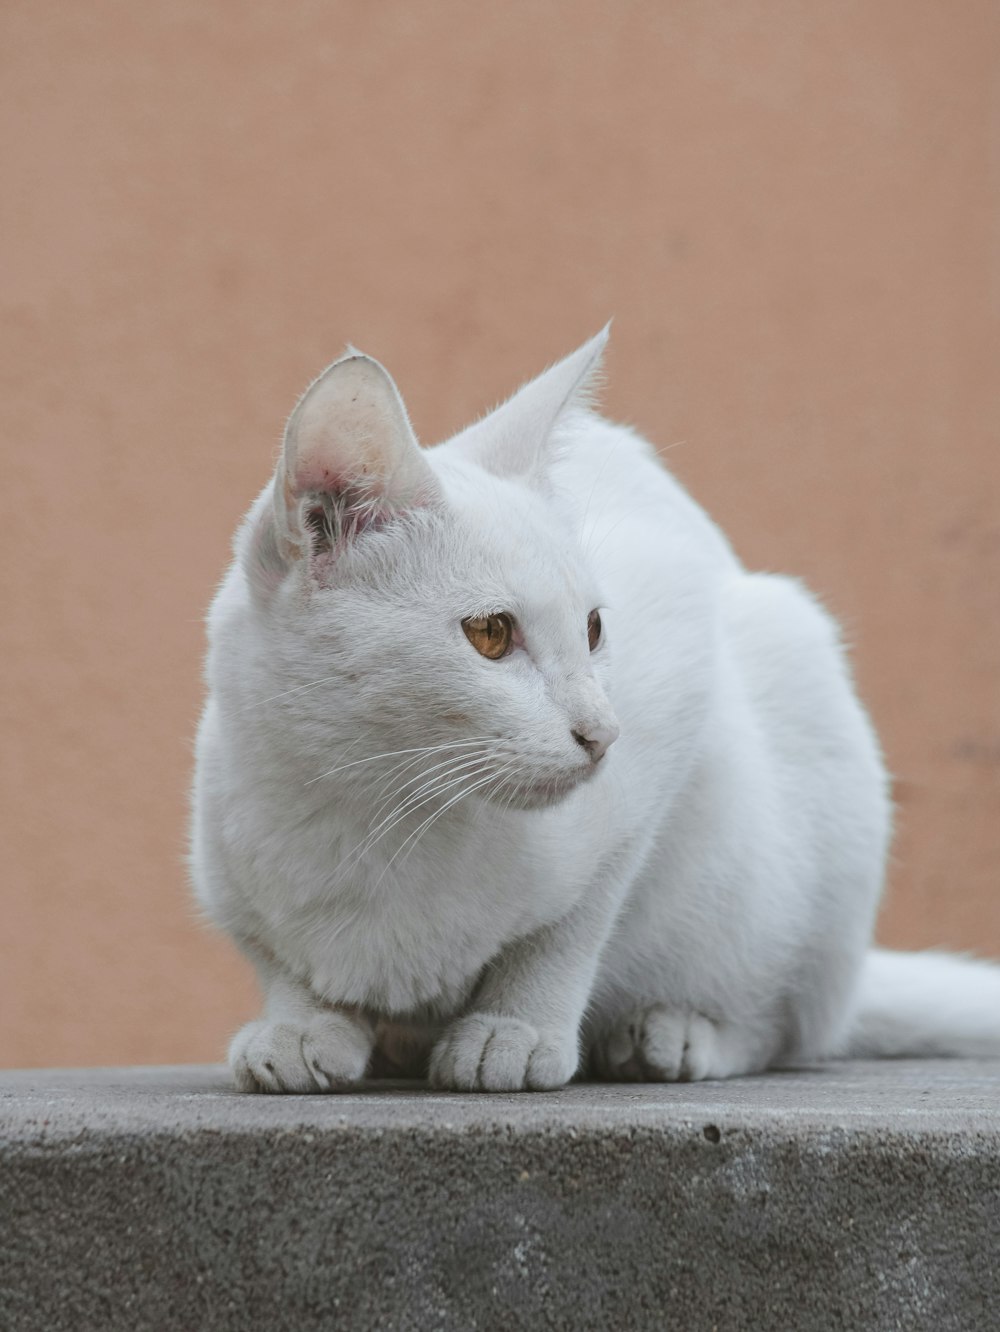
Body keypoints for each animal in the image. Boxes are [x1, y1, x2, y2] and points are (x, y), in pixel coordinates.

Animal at [189, 327, 1000, 1086]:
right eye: (491, 634)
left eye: (594, 629)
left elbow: (573, 924)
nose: (604, 733)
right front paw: (300, 1024)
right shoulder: (227, 868)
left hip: (797, 723)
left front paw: (516, 1029)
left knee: (784, 1022)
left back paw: (674, 1034)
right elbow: (278, 958)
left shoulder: (666, 722)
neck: (372, 811)